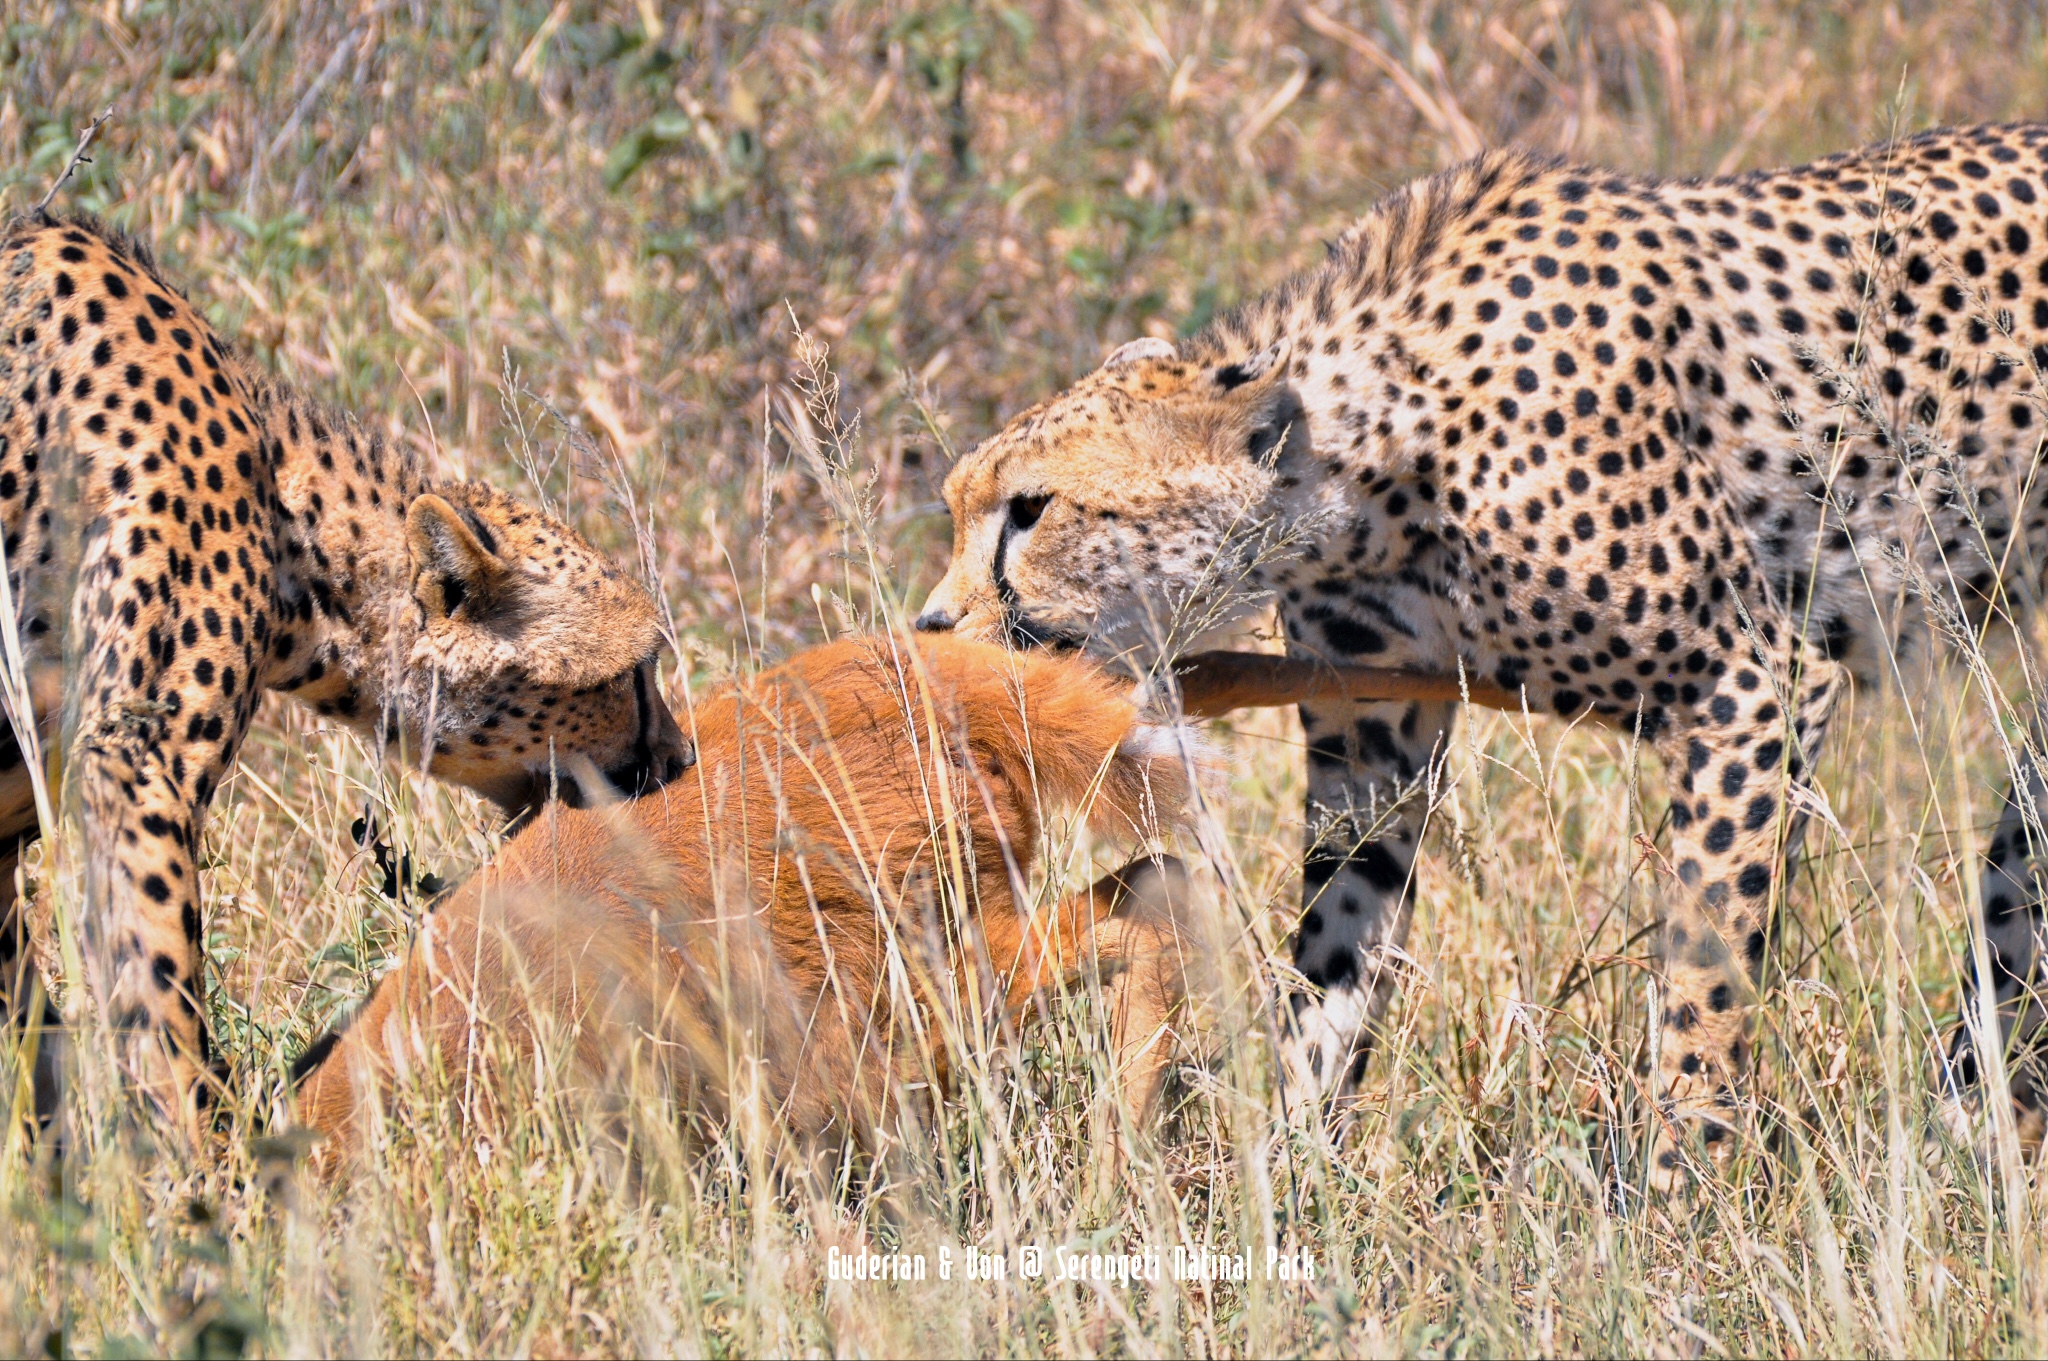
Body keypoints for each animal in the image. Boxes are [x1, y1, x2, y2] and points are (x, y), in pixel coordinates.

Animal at [917, 124, 2048, 1178]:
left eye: (1032, 508)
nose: (929, 627)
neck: (1363, 465)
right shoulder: (1371, 741)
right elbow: (1334, 948)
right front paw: (1296, 1167)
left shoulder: (1757, 681)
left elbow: (1704, 966)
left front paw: (1678, 1188)